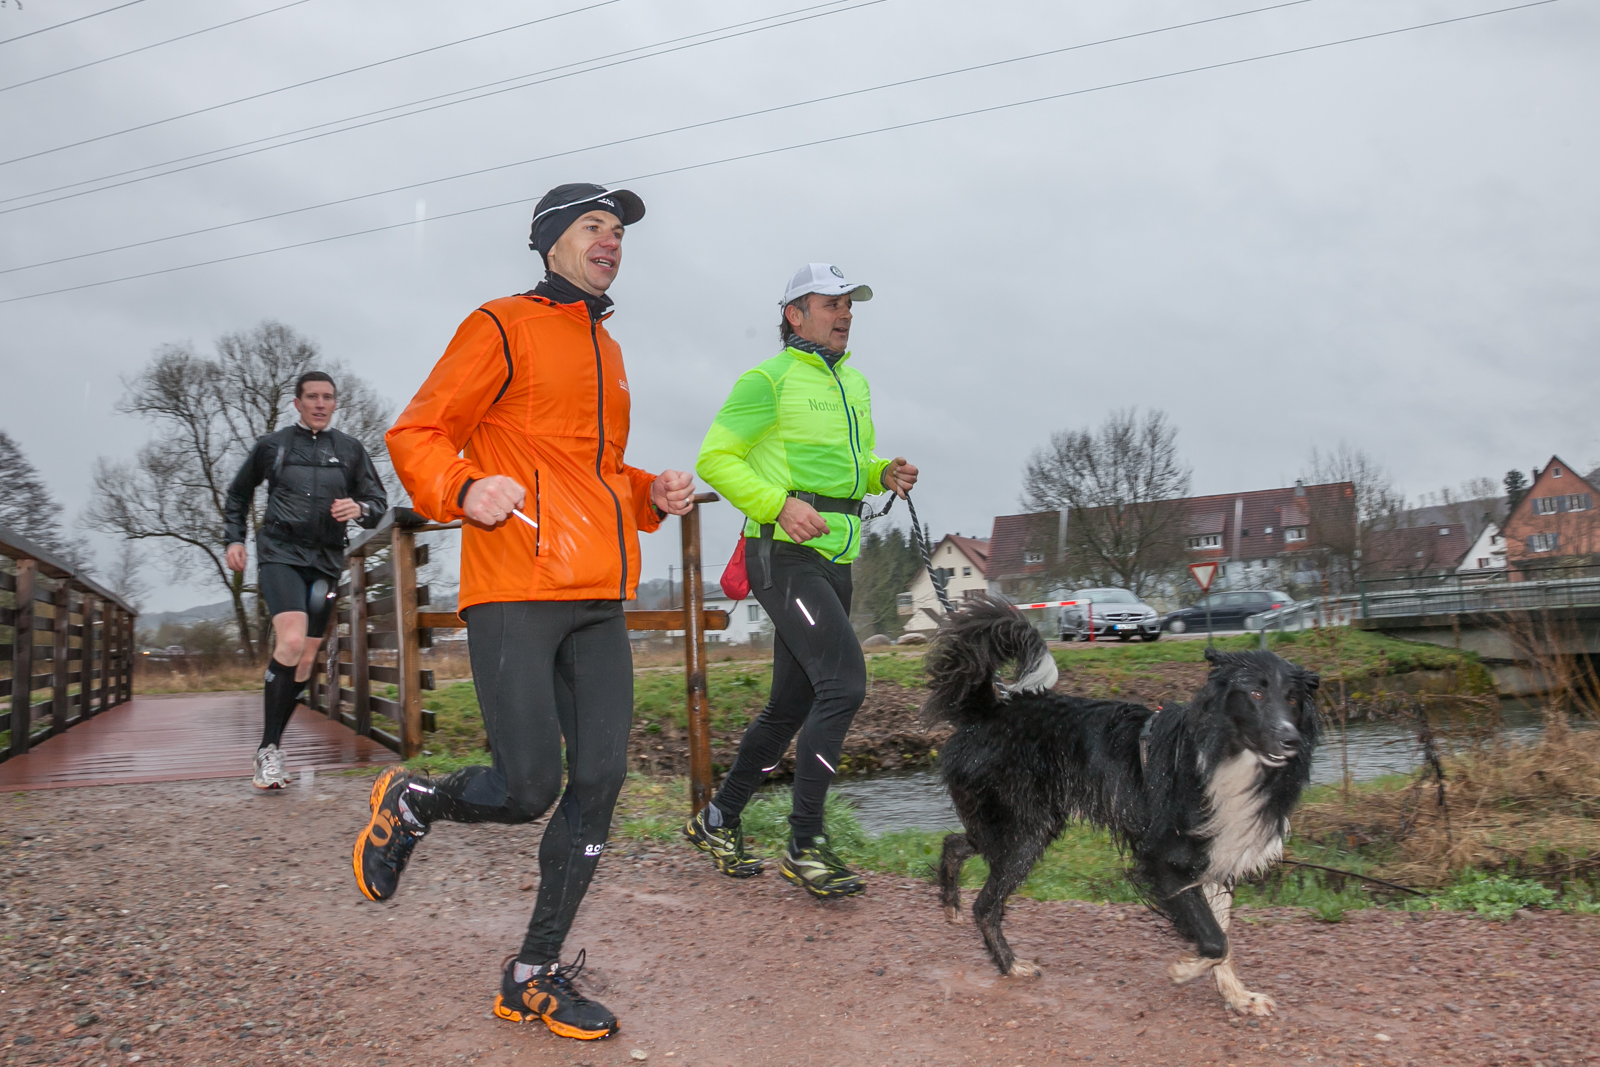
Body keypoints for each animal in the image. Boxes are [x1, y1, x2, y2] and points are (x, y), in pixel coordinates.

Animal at [926, 595, 1319, 1015]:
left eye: (1292, 700)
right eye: (1255, 695)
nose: (1290, 740)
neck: (1223, 758)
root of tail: (985, 711)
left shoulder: (1219, 854)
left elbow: (1223, 937)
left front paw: (1238, 996)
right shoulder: (1163, 857)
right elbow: (1215, 939)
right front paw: (1184, 969)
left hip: (1016, 826)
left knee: (957, 843)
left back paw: (950, 902)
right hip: (1025, 831)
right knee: (986, 905)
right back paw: (1010, 964)